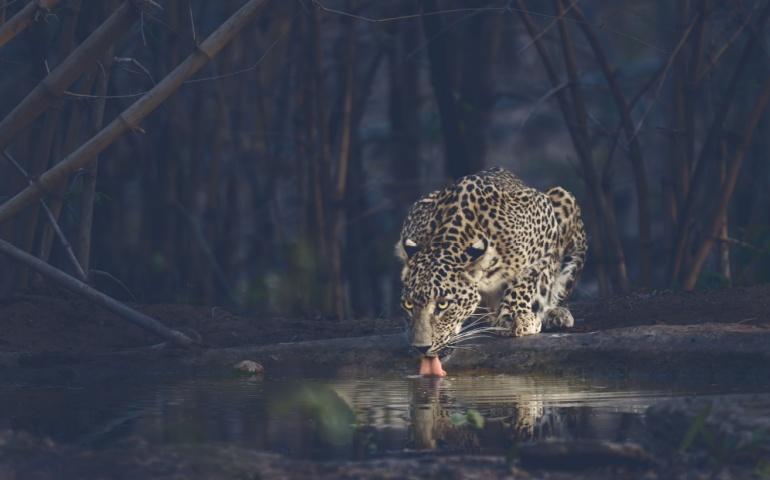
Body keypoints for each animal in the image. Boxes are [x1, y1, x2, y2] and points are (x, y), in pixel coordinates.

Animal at [395, 166, 587, 358]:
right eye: (408, 304)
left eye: (443, 304)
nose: (421, 348)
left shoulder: (545, 226)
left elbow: (528, 278)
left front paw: (515, 316)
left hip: (563, 199)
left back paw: (555, 314)